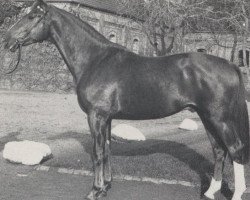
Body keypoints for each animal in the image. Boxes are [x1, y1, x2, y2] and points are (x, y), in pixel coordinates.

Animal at [3, 0, 248, 199]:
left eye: (32, 16)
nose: (6, 39)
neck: (95, 60)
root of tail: (230, 64)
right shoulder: (107, 118)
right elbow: (107, 149)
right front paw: (105, 187)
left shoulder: (96, 116)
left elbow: (97, 153)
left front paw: (94, 191)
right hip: (206, 117)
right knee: (219, 151)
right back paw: (209, 192)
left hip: (220, 119)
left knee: (235, 150)